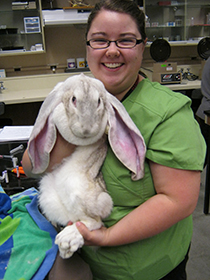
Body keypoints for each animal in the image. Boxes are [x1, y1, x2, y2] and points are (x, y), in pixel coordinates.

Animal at [27, 73, 146, 260]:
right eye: (74, 99)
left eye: (98, 101)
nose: (86, 130)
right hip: (49, 196)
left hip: (87, 196)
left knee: (94, 222)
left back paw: (67, 240)